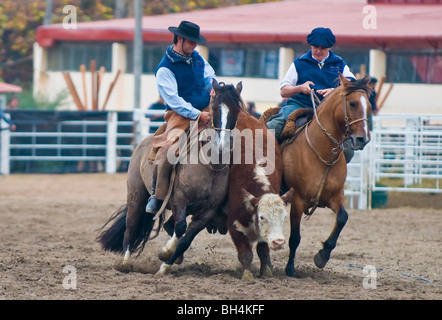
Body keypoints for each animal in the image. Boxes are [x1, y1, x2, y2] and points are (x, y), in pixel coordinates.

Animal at [96, 81, 242, 274]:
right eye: (214, 109)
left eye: (236, 110)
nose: (222, 146)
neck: (209, 166)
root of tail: (143, 143)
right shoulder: (179, 198)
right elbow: (180, 228)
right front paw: (166, 252)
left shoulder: (207, 212)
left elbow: (186, 238)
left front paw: (166, 265)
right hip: (136, 197)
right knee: (131, 228)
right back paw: (125, 263)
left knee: (167, 226)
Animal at [264, 74, 372, 276]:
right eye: (353, 103)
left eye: (368, 105)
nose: (363, 139)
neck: (322, 153)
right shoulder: (298, 199)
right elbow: (295, 237)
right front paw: (290, 269)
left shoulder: (335, 197)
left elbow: (343, 218)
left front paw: (323, 255)